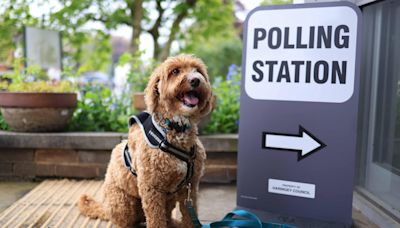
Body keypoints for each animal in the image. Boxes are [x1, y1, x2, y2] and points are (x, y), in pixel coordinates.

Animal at [79, 54, 216, 227]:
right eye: (175, 71)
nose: (195, 80)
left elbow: (189, 218)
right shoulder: (152, 188)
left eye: (197, 70)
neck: (174, 129)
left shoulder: (189, 188)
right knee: (125, 222)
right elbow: (156, 220)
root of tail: (105, 208)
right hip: (122, 203)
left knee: (167, 217)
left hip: (169, 199)